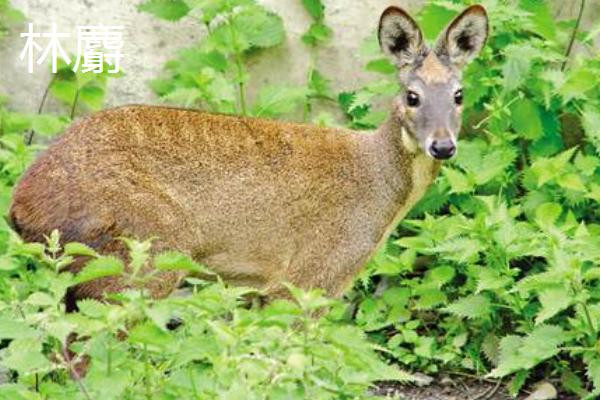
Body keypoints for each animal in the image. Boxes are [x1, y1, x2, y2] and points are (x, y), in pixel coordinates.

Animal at [9, 5, 488, 306]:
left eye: (459, 94)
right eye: (412, 96)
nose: (443, 145)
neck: (379, 187)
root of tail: (20, 206)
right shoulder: (308, 277)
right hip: (142, 250)